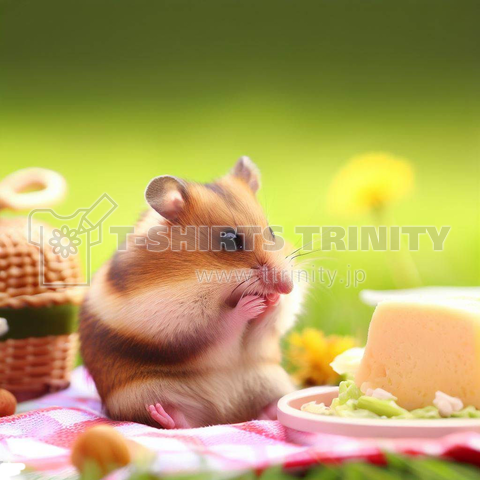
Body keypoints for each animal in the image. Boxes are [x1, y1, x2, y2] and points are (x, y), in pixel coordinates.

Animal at [79, 157, 304, 428]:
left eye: (271, 231)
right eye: (230, 240)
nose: (287, 287)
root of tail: (225, 417)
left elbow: (265, 325)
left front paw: (271, 301)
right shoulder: (172, 315)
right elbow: (218, 324)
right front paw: (251, 305)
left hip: (274, 381)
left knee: (264, 408)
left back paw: (268, 413)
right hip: (139, 395)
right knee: (180, 422)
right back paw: (165, 415)